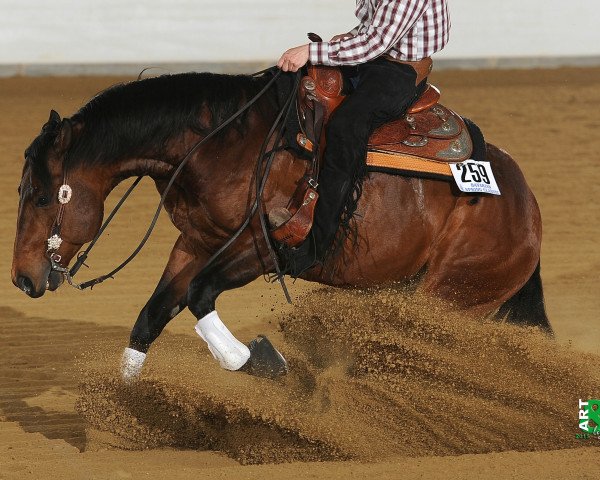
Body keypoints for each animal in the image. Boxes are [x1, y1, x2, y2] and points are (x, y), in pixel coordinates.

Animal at [11, 69, 552, 380]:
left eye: (41, 195)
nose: (22, 277)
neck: (223, 141)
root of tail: (526, 206)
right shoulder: (196, 242)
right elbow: (152, 315)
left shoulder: (261, 247)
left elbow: (200, 296)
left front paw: (257, 360)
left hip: (449, 297)